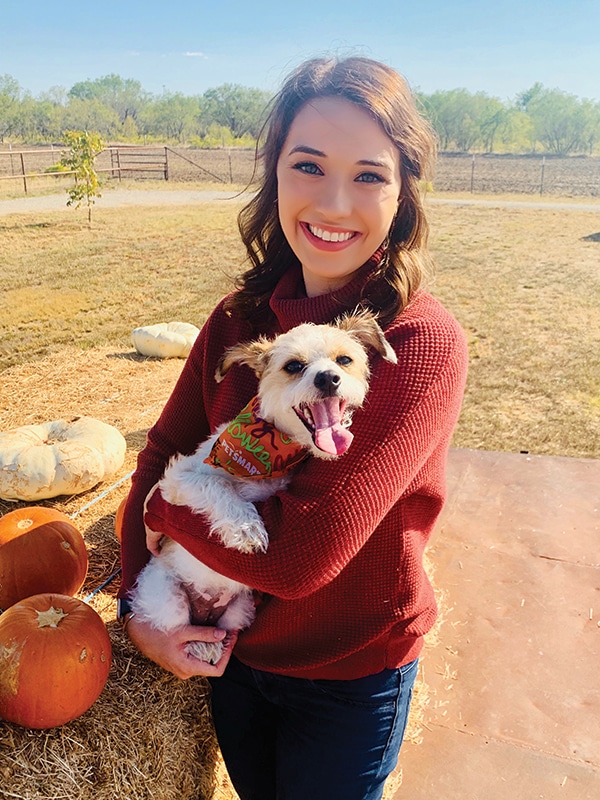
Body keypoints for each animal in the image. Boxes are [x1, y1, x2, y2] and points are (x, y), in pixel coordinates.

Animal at [129, 310, 396, 664]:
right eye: (293, 366)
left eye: (344, 360)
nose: (328, 378)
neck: (267, 451)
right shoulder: (178, 478)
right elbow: (217, 486)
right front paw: (245, 528)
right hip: (168, 597)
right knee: (176, 627)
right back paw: (201, 645)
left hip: (238, 610)